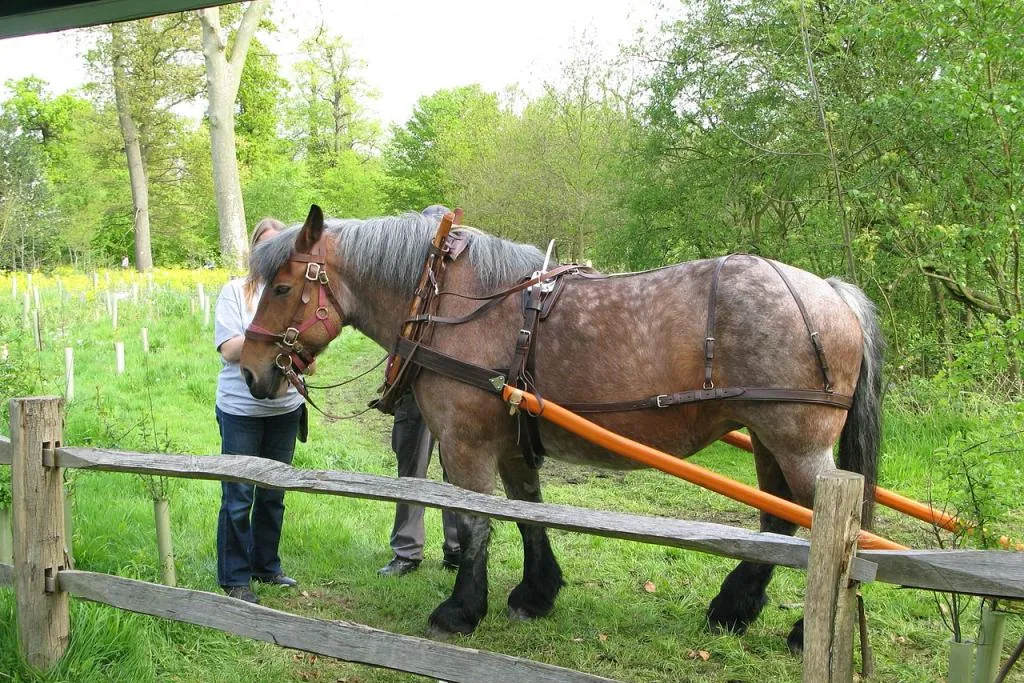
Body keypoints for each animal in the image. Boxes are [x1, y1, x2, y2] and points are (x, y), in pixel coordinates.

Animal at [239, 205, 884, 651]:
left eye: (281, 287)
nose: (249, 370)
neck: (450, 301)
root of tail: (832, 294)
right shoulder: (511, 445)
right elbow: (529, 515)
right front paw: (535, 593)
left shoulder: (466, 444)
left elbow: (475, 524)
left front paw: (461, 610)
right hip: (769, 440)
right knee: (779, 523)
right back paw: (733, 608)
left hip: (800, 445)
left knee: (830, 527)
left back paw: (803, 630)